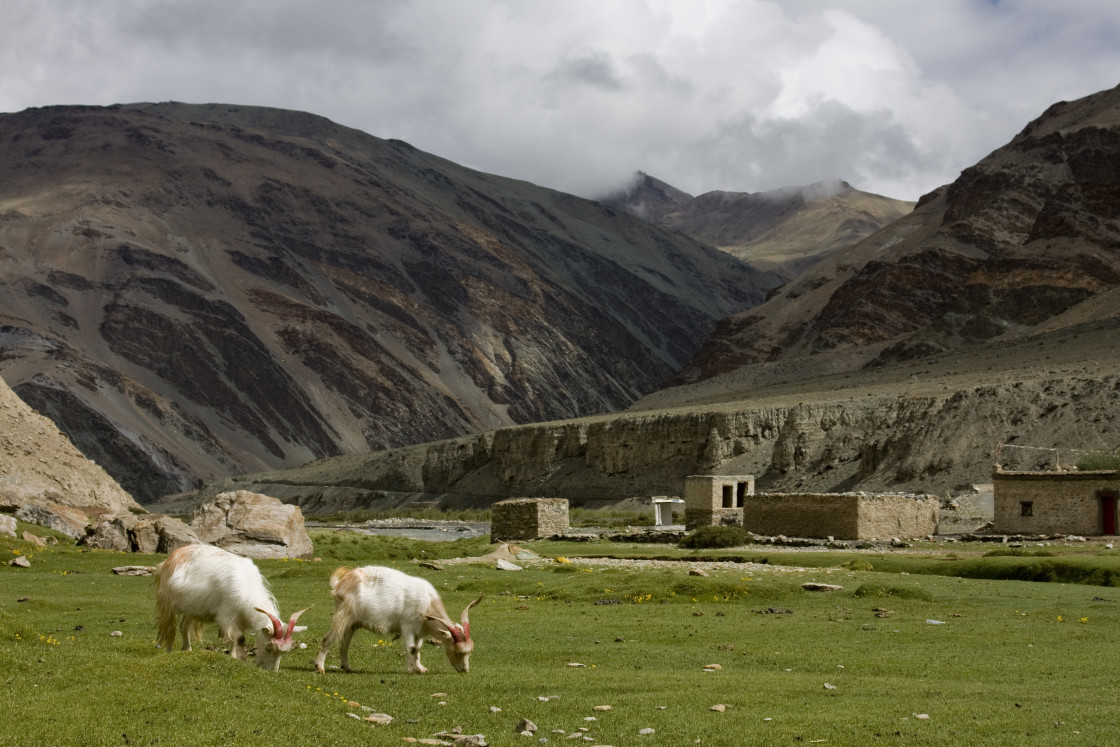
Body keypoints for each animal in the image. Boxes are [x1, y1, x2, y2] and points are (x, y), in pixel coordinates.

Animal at [154, 544, 311, 671]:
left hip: (190, 608)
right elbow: (240, 638)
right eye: (268, 647)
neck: (247, 586)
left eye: (284, 652)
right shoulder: (228, 615)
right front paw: (239, 659)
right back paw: (169, 652)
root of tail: (171, 558)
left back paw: (187, 650)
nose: (271, 671)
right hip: (167, 603)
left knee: (184, 627)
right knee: (170, 629)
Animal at [313, 564, 479, 676]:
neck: (428, 603)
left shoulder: (419, 631)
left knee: (344, 644)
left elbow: (418, 649)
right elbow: (411, 648)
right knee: (328, 639)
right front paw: (412, 670)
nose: (465, 670)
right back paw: (320, 668)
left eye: (469, 652)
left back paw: (346, 667)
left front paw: (420, 668)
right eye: (457, 652)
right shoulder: (407, 627)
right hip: (343, 615)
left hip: (352, 623)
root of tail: (340, 583)